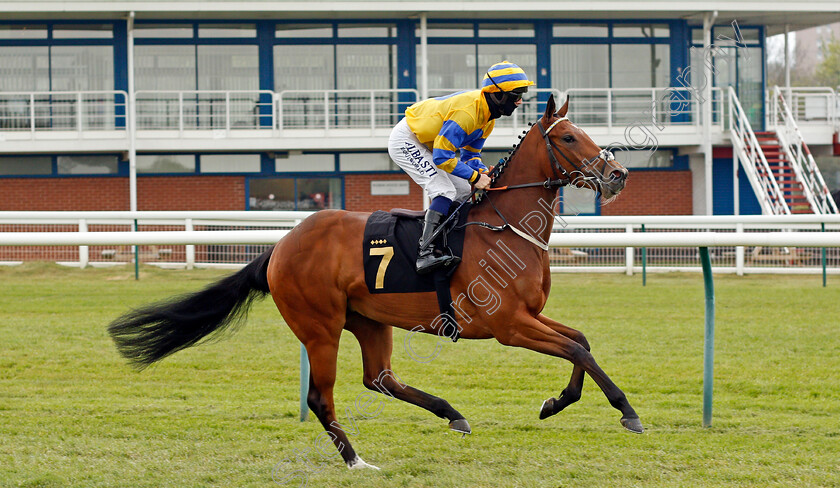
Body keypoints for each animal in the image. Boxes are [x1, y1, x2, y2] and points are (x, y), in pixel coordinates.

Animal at [108, 93, 640, 470]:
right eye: (568, 138)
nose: (618, 173)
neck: (504, 226)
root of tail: (280, 246)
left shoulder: (528, 315)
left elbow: (581, 342)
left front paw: (556, 402)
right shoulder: (508, 325)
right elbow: (576, 350)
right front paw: (625, 411)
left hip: (367, 320)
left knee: (379, 378)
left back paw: (450, 413)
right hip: (319, 327)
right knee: (322, 397)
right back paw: (356, 460)